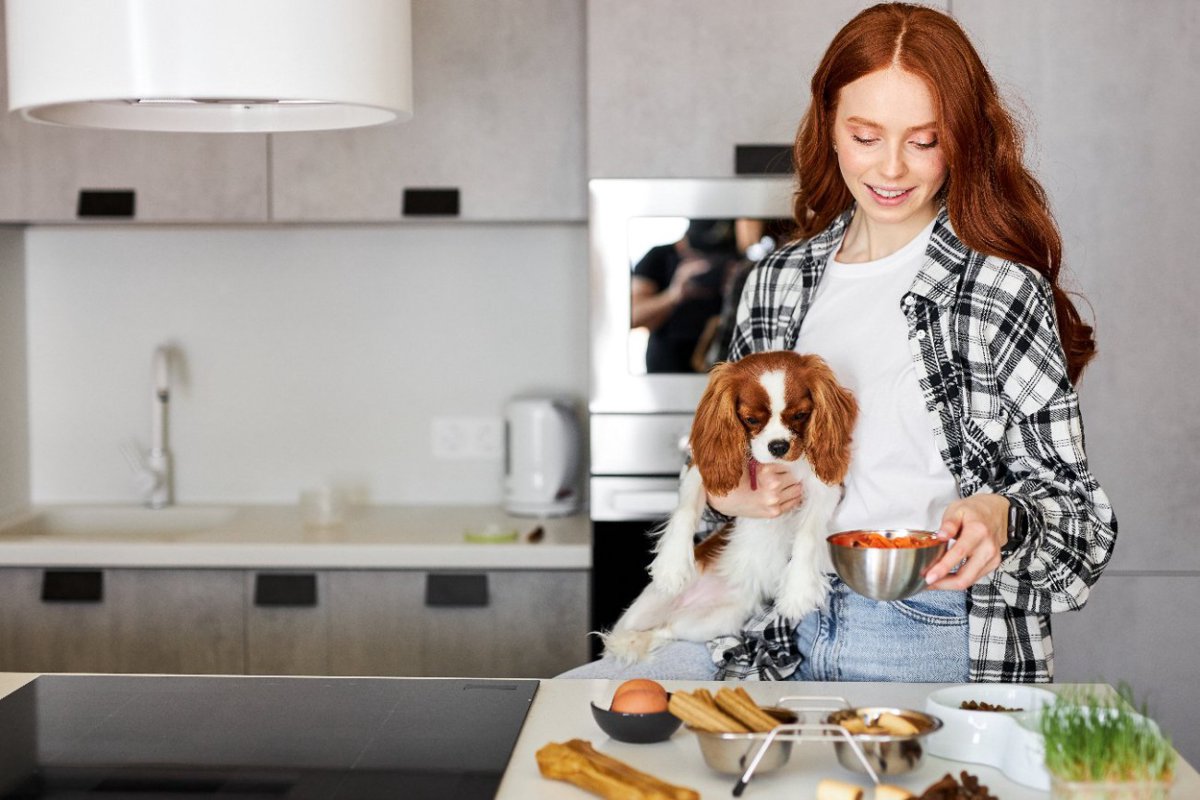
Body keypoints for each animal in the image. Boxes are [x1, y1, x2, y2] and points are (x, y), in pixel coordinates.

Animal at [604, 350, 859, 662]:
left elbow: (807, 536)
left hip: (718, 620)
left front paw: (798, 590)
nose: (778, 446)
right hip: (643, 609)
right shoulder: (702, 468)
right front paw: (672, 565)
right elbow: (686, 511)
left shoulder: (825, 489)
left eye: (800, 415)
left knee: (667, 631)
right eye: (750, 419)